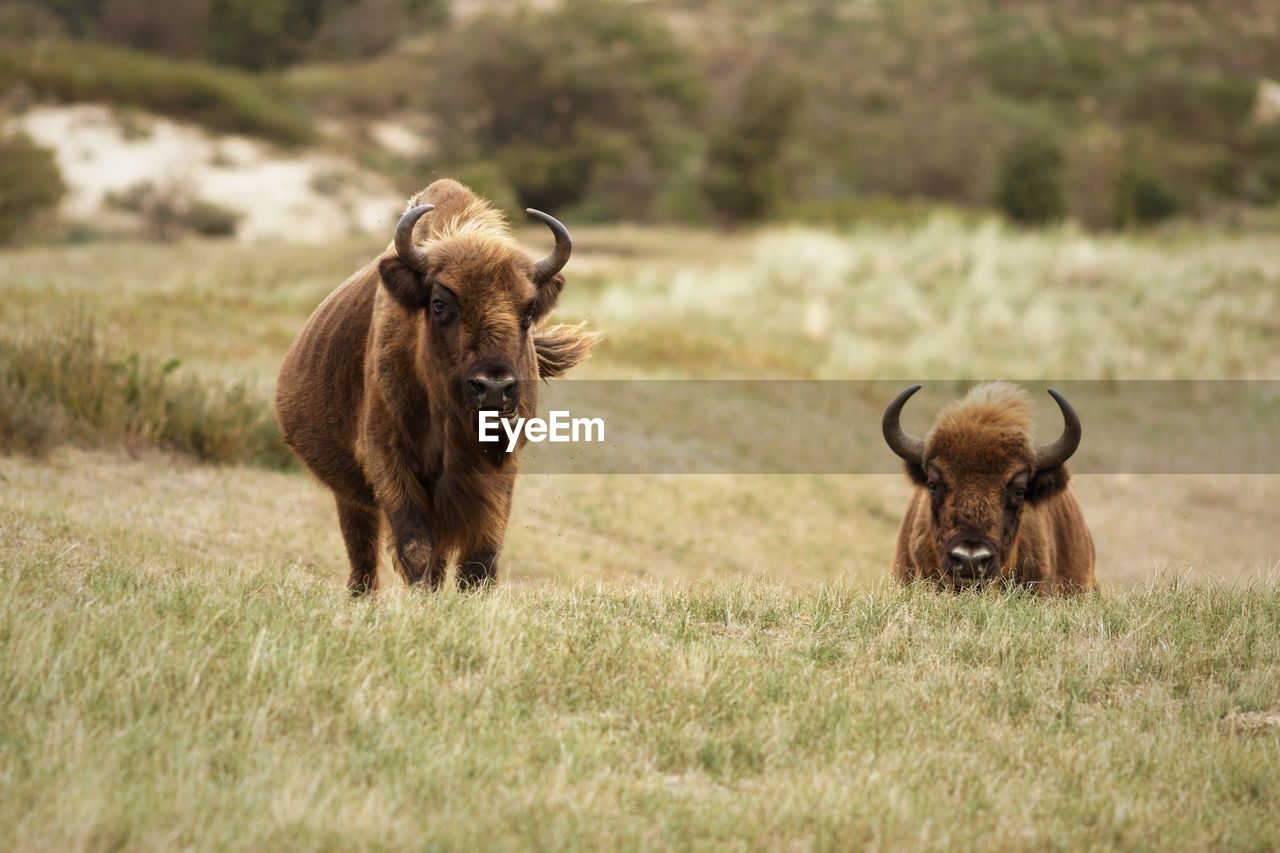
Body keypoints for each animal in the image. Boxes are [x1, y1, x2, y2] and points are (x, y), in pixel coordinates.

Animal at [275, 179, 593, 591]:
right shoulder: (389, 458)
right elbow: (415, 545)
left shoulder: (500, 465)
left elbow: (481, 554)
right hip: (350, 496)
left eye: (527, 311)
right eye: (440, 303)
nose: (493, 388)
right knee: (362, 552)